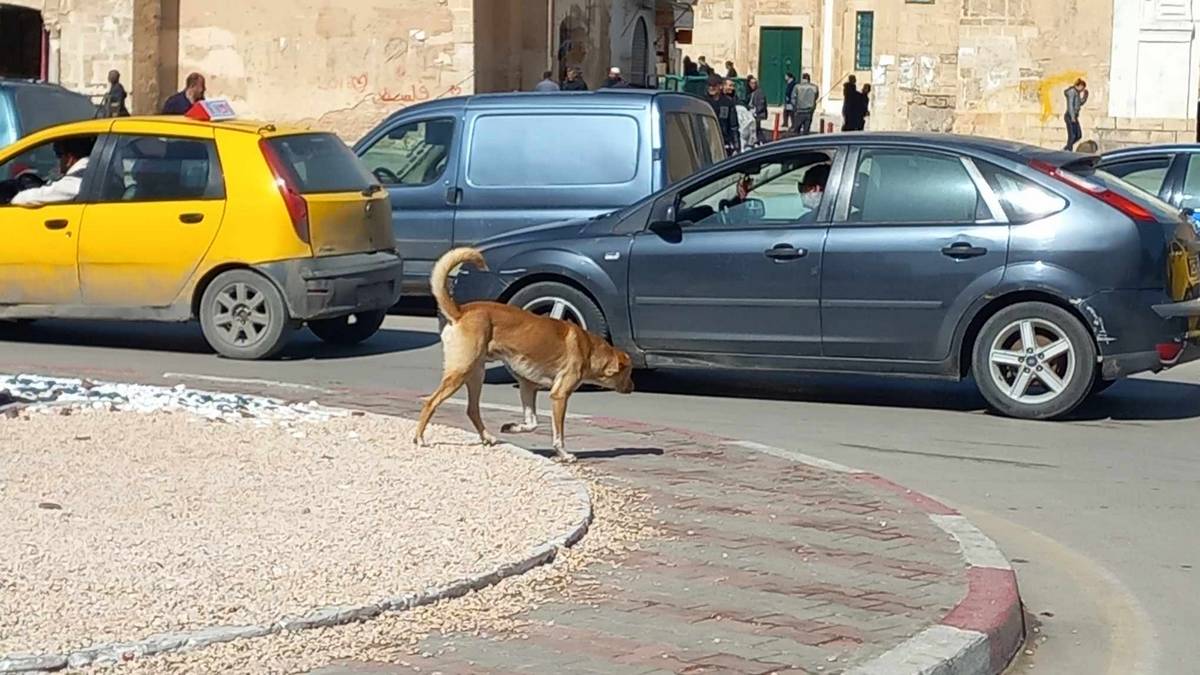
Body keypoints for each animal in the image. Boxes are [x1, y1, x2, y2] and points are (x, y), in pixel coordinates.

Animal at [415, 243, 638, 458]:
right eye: (629, 372)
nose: (633, 386)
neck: (589, 349)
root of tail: (460, 312)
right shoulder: (559, 396)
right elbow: (558, 434)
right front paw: (564, 454)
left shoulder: (527, 386)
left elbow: (532, 424)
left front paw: (513, 427)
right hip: (461, 371)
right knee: (431, 403)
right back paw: (419, 438)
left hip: (476, 374)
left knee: (472, 410)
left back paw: (488, 437)